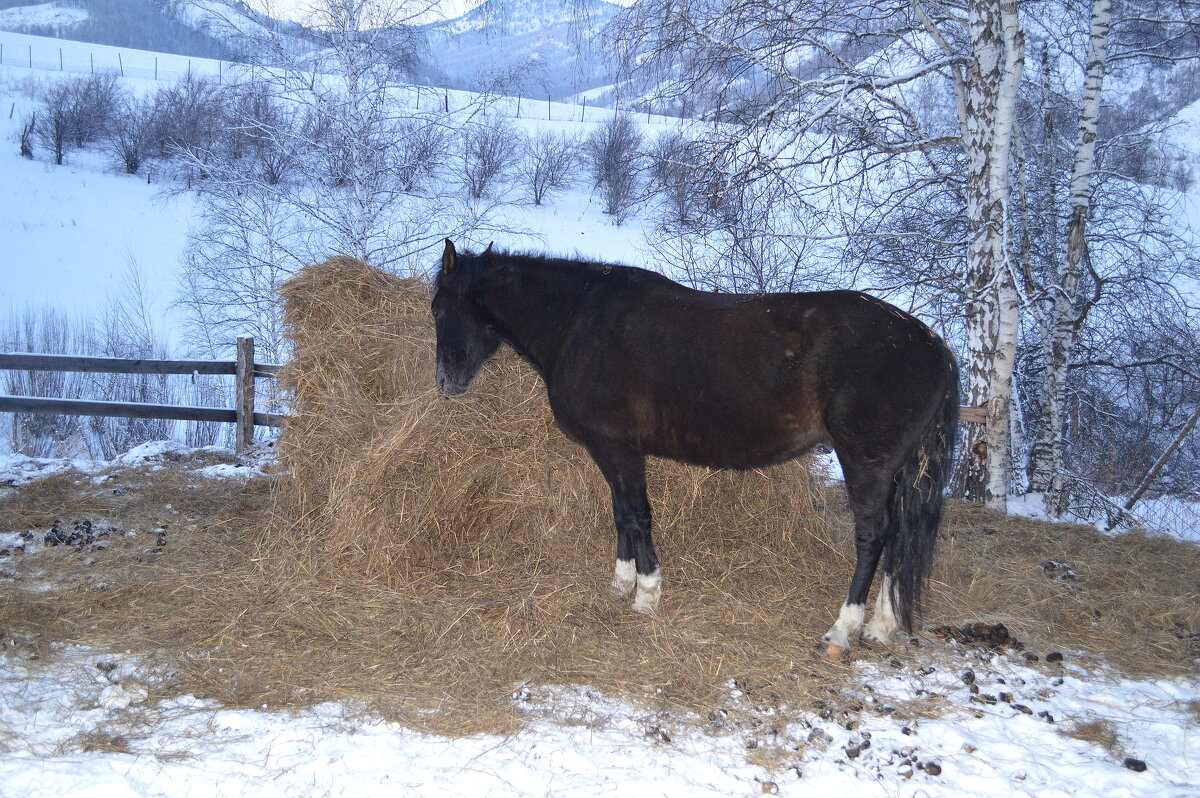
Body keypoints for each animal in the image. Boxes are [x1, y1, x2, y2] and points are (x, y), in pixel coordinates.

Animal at [432, 240, 955, 657]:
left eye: (438, 308)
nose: (446, 382)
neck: (579, 321)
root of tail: (932, 345)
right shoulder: (612, 450)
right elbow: (620, 514)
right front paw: (620, 584)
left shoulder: (617, 448)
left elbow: (638, 516)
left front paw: (647, 595)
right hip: (896, 469)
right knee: (897, 536)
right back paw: (883, 625)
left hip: (866, 463)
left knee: (872, 536)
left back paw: (842, 630)